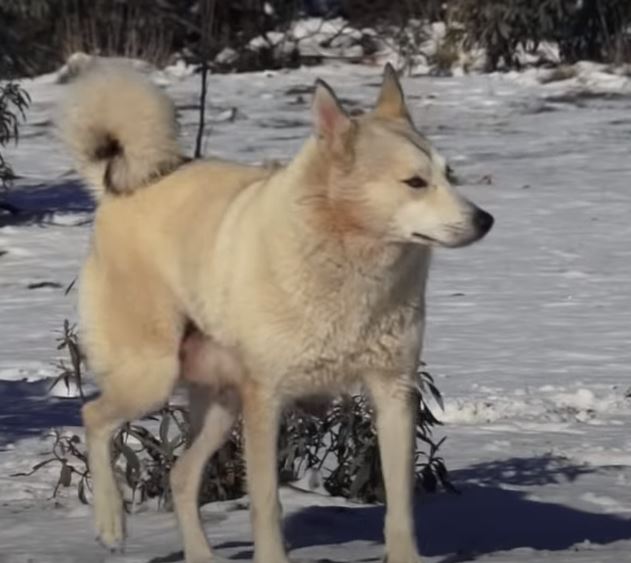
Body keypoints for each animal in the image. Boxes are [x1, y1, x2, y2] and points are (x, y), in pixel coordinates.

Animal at [60, 62, 494, 563]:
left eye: (449, 175)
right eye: (415, 183)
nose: (486, 220)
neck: (347, 262)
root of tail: (117, 190)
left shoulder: (394, 393)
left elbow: (400, 506)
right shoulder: (266, 401)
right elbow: (266, 504)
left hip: (222, 405)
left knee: (181, 476)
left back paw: (200, 555)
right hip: (152, 379)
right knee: (94, 417)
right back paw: (111, 524)